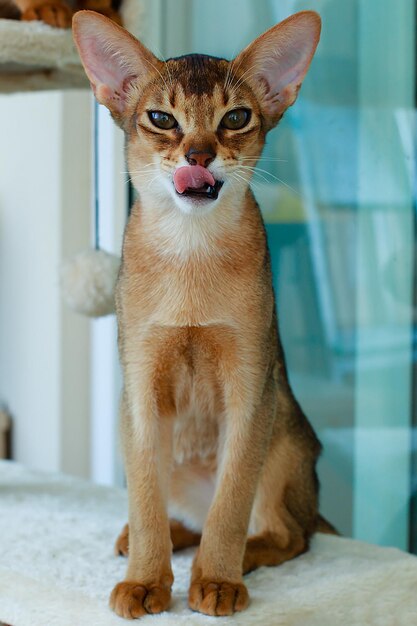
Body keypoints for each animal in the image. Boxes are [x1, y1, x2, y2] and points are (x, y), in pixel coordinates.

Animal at [71, 11, 332, 620]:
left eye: (235, 117)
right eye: (161, 119)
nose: (198, 155)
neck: (190, 256)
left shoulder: (250, 388)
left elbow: (231, 504)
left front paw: (216, 579)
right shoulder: (141, 388)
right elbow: (145, 497)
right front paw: (146, 581)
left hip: (284, 444)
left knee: (292, 534)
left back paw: (240, 558)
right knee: (176, 514)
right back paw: (152, 542)